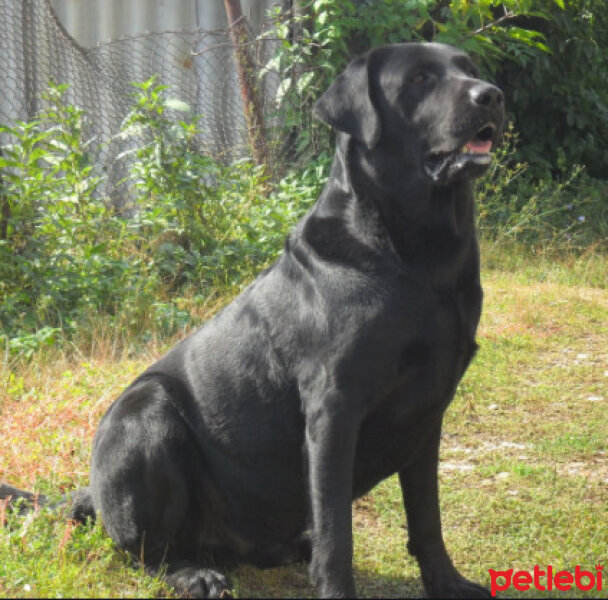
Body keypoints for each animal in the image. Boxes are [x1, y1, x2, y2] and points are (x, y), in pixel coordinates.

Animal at [1, 42, 504, 596]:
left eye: (469, 69)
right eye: (418, 79)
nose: (492, 95)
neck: (414, 258)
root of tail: (90, 491)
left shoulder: (428, 409)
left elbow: (427, 516)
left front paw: (448, 583)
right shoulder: (333, 410)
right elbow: (337, 534)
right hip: (145, 415)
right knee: (146, 552)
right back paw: (194, 573)